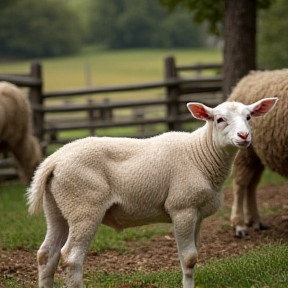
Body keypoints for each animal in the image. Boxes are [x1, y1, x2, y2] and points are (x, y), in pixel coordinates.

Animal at [27, 98, 276, 286]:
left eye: (249, 117)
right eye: (219, 119)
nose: (244, 136)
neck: (200, 154)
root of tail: (53, 160)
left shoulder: (198, 213)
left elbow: (193, 257)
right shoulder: (182, 208)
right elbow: (189, 259)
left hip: (58, 207)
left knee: (46, 255)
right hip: (84, 206)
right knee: (71, 258)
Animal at [230, 69, 288, 236]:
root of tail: (249, 78)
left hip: (258, 155)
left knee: (252, 184)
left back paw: (254, 220)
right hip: (245, 152)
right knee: (240, 184)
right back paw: (239, 225)